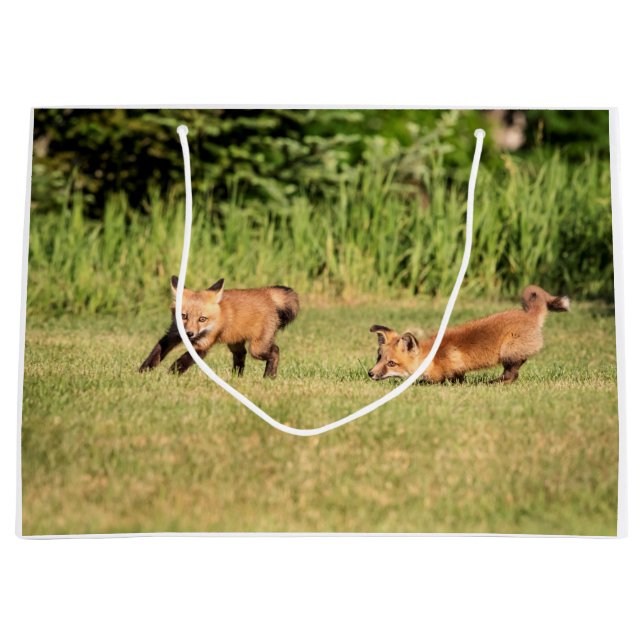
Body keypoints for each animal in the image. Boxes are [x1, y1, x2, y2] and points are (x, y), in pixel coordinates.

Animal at [139, 276, 300, 378]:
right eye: (183, 316)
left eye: (202, 319)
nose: (189, 334)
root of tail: (266, 293)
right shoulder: (173, 334)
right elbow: (156, 353)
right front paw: (143, 371)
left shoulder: (204, 343)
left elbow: (182, 361)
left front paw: (169, 375)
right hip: (235, 343)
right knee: (241, 356)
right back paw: (236, 378)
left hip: (257, 349)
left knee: (275, 350)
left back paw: (269, 376)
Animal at [368, 285, 570, 384]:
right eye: (378, 358)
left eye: (391, 363)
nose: (370, 373)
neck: (432, 358)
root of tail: (529, 315)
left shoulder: (452, 369)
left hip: (508, 351)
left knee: (512, 375)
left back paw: (491, 383)